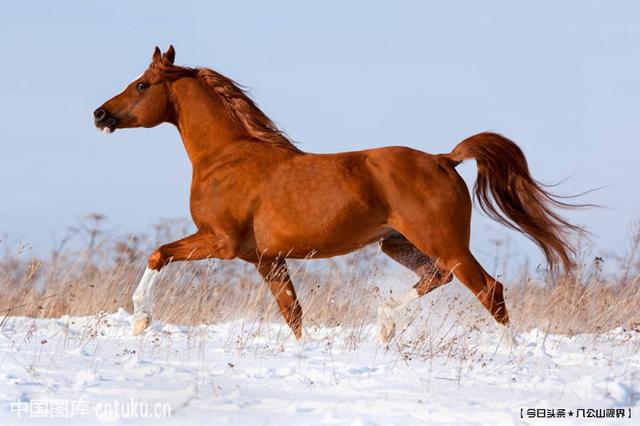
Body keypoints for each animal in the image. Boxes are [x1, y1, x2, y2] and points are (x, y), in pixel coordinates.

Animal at [94, 45, 580, 342]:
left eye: (141, 84)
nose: (100, 114)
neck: (228, 158)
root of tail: (445, 158)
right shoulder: (266, 259)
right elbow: (293, 315)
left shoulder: (221, 243)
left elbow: (158, 254)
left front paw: (139, 320)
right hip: (396, 244)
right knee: (437, 278)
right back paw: (384, 324)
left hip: (446, 243)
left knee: (489, 290)